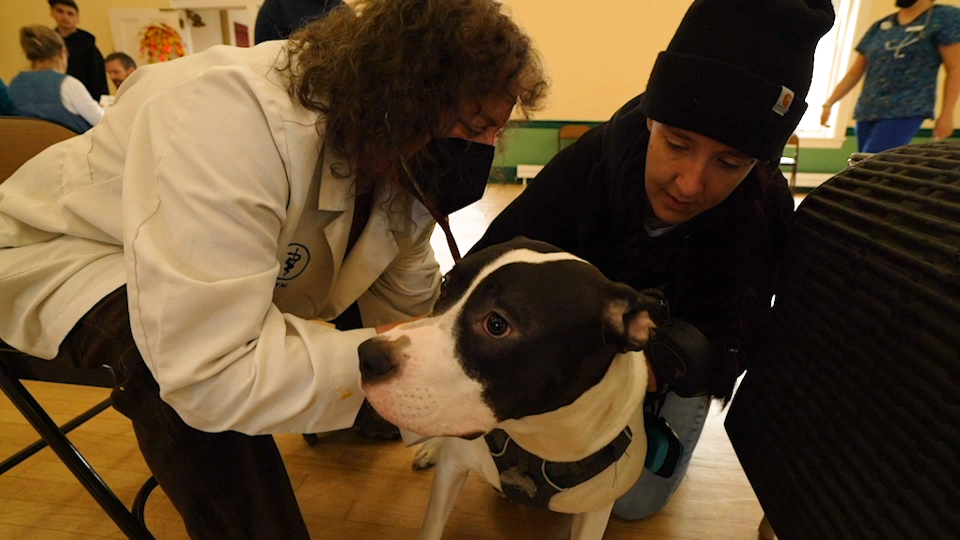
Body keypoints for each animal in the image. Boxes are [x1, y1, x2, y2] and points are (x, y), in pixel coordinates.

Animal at [356, 237, 664, 540]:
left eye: (496, 324)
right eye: (444, 284)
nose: (367, 356)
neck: (541, 438)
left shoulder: (595, 513)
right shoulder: (451, 470)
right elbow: (431, 527)